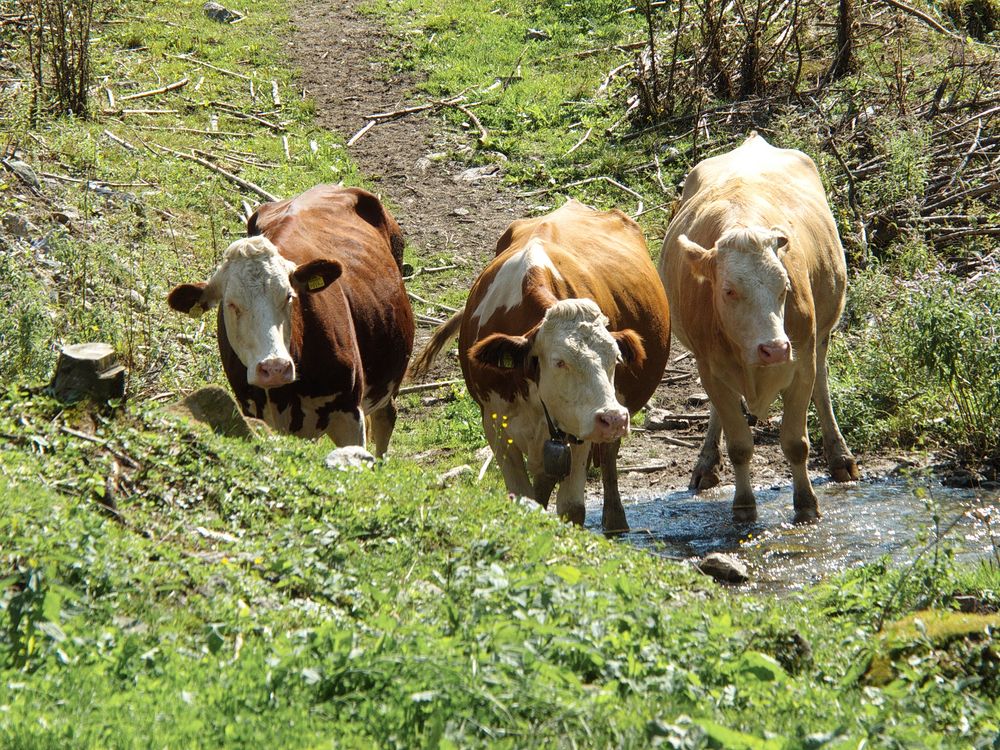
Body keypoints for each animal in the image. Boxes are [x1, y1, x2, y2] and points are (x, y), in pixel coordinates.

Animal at [168, 185, 414, 456]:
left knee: (385, 418)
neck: (285, 395)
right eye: (231, 304)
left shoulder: (350, 414)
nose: (274, 367)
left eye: (289, 296)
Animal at [410, 200, 668, 528]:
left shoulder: (579, 426)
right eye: (559, 362)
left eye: (615, 358)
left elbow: (571, 507)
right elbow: (524, 498)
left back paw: (615, 522)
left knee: (608, 458)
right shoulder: (496, 425)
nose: (612, 419)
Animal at [656, 134, 860, 524]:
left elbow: (796, 443)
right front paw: (744, 506)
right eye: (728, 290)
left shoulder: (801, 362)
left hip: (821, 337)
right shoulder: (711, 368)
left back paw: (840, 457)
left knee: (823, 388)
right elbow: (739, 445)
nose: (775, 348)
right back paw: (706, 464)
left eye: (785, 287)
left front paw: (807, 504)